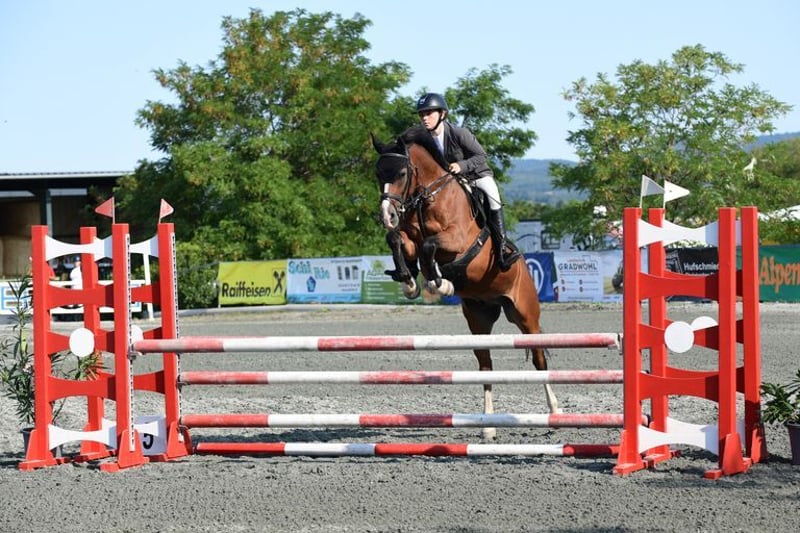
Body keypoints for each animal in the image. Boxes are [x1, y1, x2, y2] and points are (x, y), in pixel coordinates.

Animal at [372, 126, 559, 439]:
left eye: (401, 173)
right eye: (377, 174)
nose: (388, 215)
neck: (430, 197)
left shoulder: (458, 240)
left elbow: (430, 247)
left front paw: (438, 283)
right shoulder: (409, 237)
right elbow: (398, 240)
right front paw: (410, 282)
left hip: (525, 315)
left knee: (539, 359)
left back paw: (555, 412)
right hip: (478, 318)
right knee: (485, 366)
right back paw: (488, 427)